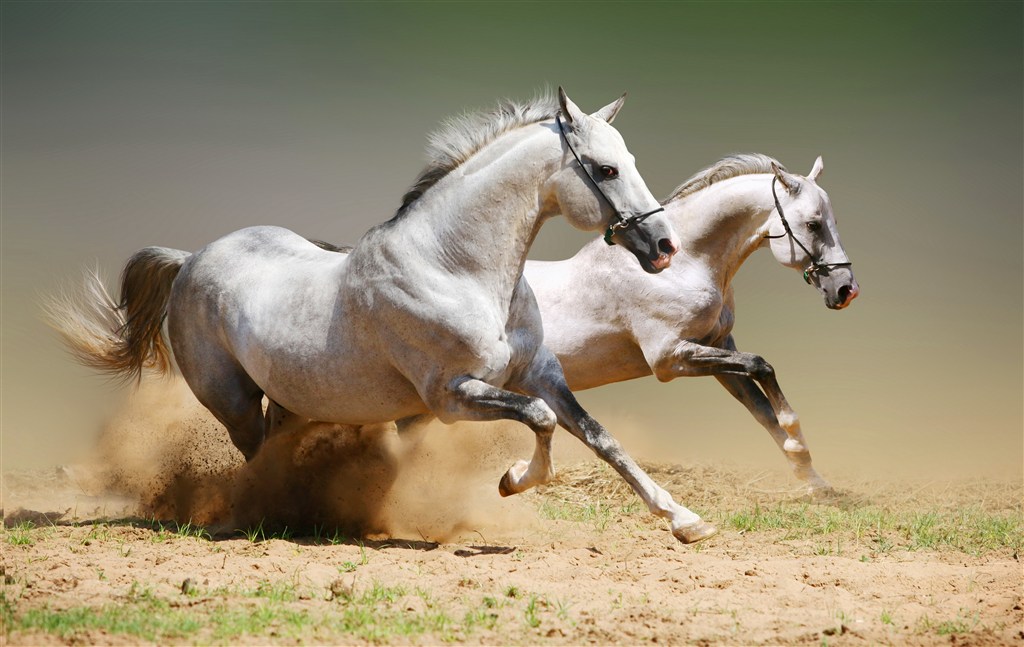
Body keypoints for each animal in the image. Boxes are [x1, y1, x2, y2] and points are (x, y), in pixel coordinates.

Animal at [49, 89, 720, 544]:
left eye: (627, 159)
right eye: (605, 169)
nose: (663, 246)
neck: (456, 268)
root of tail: (190, 259)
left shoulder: (540, 374)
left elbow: (600, 437)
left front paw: (686, 520)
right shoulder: (451, 396)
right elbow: (541, 421)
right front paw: (511, 480)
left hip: (292, 400)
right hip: (232, 400)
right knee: (254, 456)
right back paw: (261, 514)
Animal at [524, 152, 860, 495]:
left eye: (833, 222)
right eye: (813, 224)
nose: (846, 289)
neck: (682, 267)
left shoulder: (717, 348)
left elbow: (762, 409)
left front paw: (814, 479)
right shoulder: (669, 358)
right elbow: (761, 366)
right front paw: (796, 440)